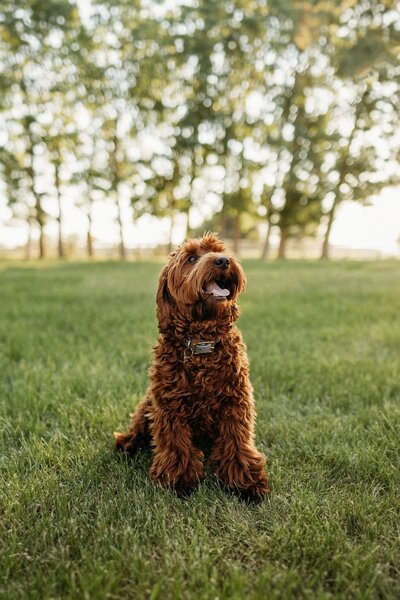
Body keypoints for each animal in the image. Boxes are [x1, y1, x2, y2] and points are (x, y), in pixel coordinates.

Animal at [114, 232, 270, 500]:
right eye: (191, 259)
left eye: (220, 250)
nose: (223, 261)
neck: (202, 343)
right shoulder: (170, 405)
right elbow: (175, 442)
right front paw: (179, 480)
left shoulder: (235, 401)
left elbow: (237, 440)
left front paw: (245, 482)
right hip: (148, 404)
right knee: (137, 428)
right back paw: (126, 443)